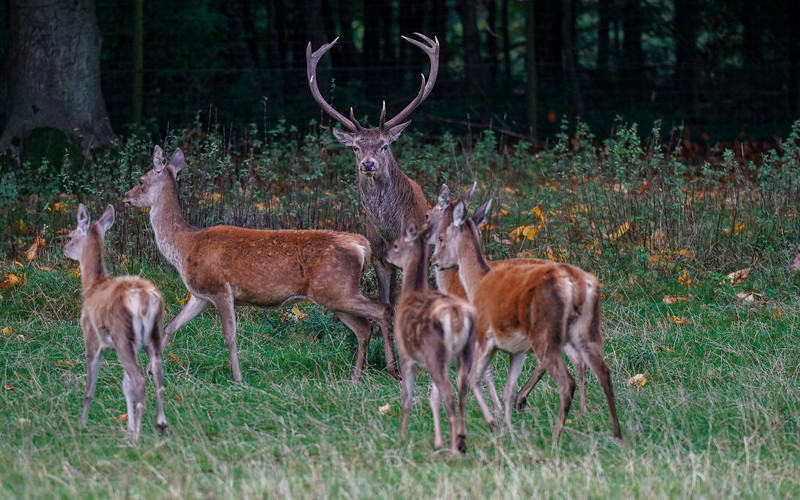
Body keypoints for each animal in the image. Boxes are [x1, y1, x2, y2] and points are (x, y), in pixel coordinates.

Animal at [63, 203, 168, 438]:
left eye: (71, 235)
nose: (63, 248)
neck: (92, 287)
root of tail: (144, 299)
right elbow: (125, 386)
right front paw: (128, 426)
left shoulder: (91, 336)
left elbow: (90, 386)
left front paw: (81, 424)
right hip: (154, 335)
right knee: (157, 375)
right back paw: (161, 426)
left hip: (122, 336)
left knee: (140, 379)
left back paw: (138, 435)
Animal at [123, 146, 396, 380]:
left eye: (141, 180)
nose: (125, 196)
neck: (185, 247)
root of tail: (361, 245)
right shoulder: (200, 295)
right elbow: (171, 326)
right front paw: (150, 371)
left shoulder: (220, 288)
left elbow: (230, 336)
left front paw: (238, 378)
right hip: (334, 293)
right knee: (363, 328)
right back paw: (356, 377)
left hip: (336, 289)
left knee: (382, 310)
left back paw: (392, 369)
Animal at [310, 32, 440, 308]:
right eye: (355, 148)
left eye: (385, 145)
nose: (368, 164)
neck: (392, 233)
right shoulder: (379, 257)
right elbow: (386, 302)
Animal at [386, 223, 476, 454]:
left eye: (396, 245)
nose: (386, 254)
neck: (411, 292)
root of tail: (457, 317)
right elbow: (432, 398)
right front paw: (437, 441)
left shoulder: (406, 355)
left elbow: (407, 398)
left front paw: (401, 437)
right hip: (464, 353)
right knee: (462, 392)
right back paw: (461, 441)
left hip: (434, 351)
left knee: (449, 394)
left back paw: (455, 447)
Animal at [428, 198, 620, 442]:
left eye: (441, 236)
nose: (434, 260)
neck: (476, 282)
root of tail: (576, 284)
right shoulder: (514, 350)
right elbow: (506, 387)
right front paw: (507, 426)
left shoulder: (482, 335)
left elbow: (473, 378)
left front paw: (494, 422)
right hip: (585, 330)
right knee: (600, 370)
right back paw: (608, 429)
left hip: (543, 332)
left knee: (567, 380)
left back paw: (555, 435)